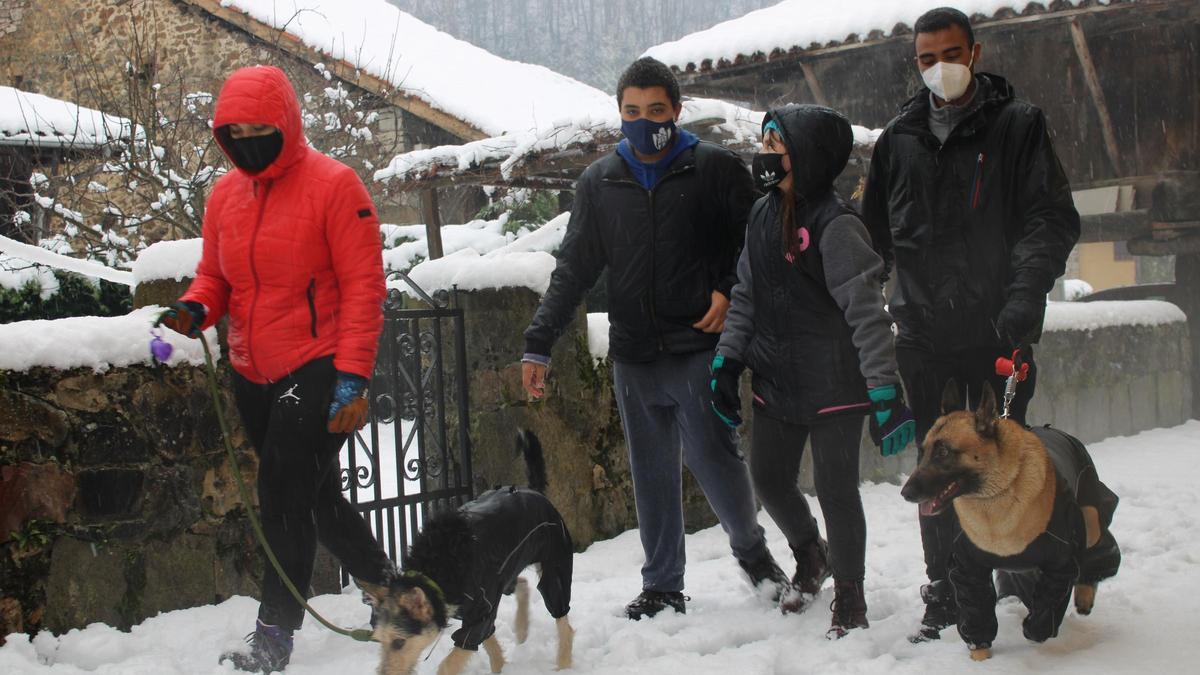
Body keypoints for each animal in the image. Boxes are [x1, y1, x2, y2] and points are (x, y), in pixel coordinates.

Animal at [352, 429, 573, 672]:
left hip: (555, 567)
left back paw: (563, 664)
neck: (437, 570)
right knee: (522, 584)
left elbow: (452, 662)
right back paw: (522, 628)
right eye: (379, 640)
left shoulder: (480, 611)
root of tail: (534, 491)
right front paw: (500, 668)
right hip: (507, 576)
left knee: (564, 621)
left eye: (399, 642)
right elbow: (491, 646)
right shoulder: (479, 610)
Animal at [902, 381, 1118, 658]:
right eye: (923, 451)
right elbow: (977, 621)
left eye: (943, 452)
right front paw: (982, 658)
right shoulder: (969, 573)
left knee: (1096, 554)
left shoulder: (1060, 567)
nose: (905, 493)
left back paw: (1084, 595)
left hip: (1090, 519)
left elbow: (1042, 619)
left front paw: (1036, 630)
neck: (995, 495)